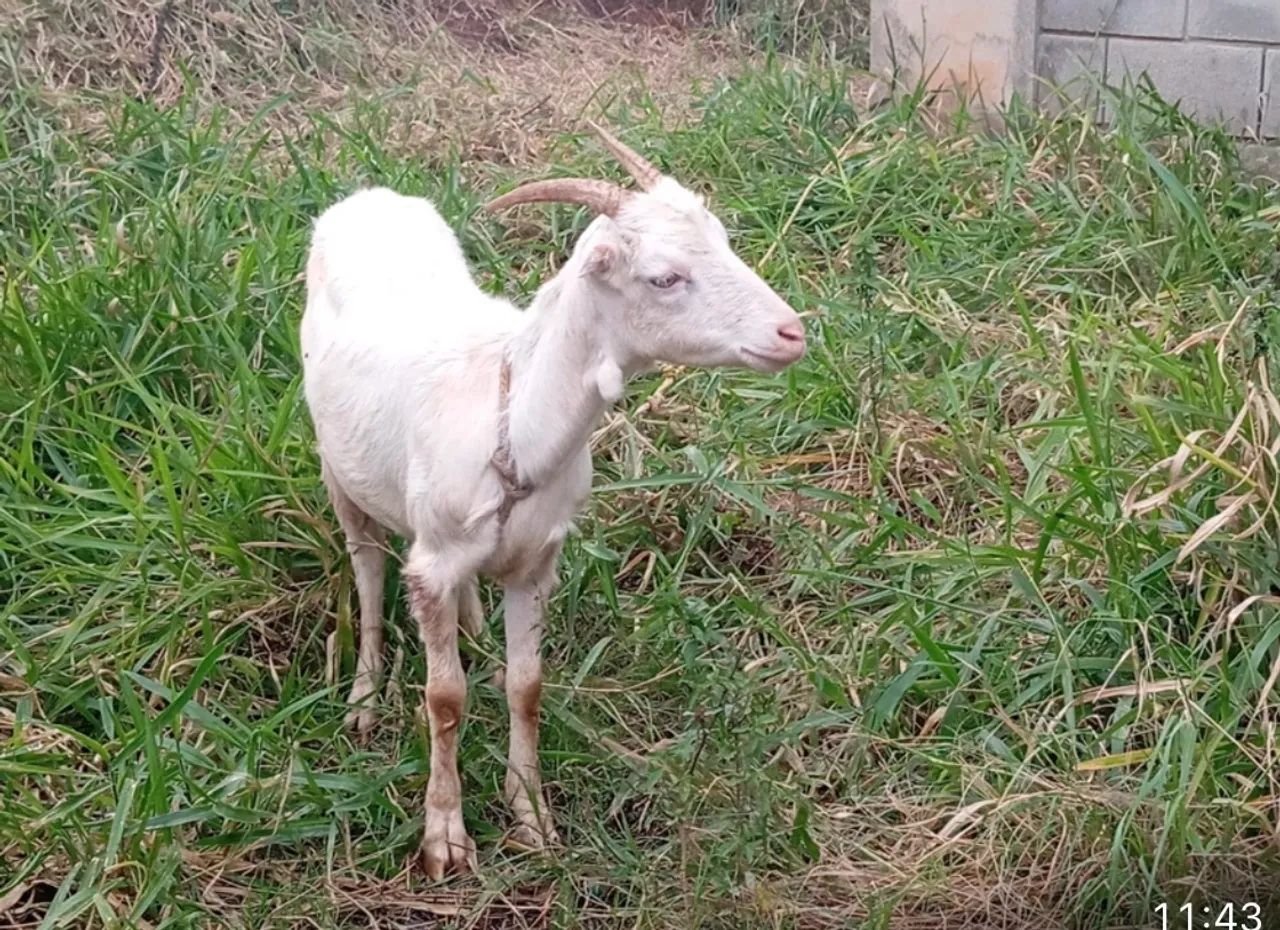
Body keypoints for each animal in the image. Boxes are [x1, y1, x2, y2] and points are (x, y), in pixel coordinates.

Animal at [300, 124, 806, 878]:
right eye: (664, 277)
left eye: (723, 241)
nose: (791, 333)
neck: (511, 416)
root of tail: (367, 198)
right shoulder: (432, 563)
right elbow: (444, 697)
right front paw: (445, 836)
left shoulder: (538, 561)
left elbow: (527, 685)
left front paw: (532, 816)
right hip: (338, 465)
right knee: (364, 562)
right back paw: (364, 695)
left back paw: (476, 634)